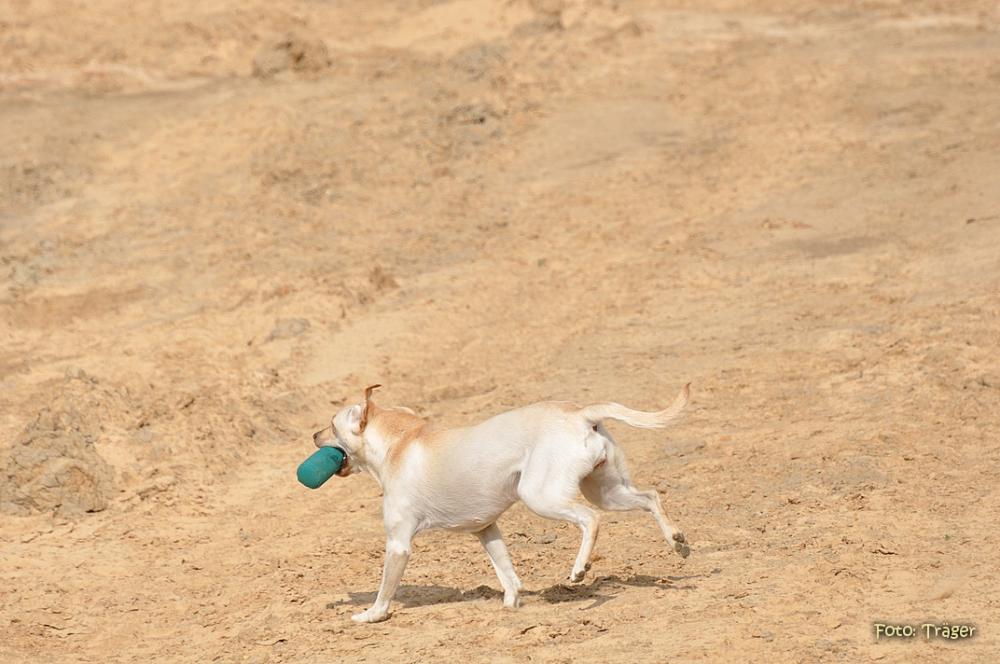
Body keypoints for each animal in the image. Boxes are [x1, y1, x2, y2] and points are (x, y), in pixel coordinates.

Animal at [313, 383, 691, 623]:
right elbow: (507, 574)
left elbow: (384, 591)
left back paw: (580, 570)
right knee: (651, 496)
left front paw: (371, 615)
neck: (399, 441)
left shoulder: (398, 544)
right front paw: (511, 606)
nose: (313, 435)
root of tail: (580, 413)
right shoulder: (486, 530)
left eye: (331, 425)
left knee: (591, 519)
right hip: (607, 491)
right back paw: (677, 542)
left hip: (542, 496)